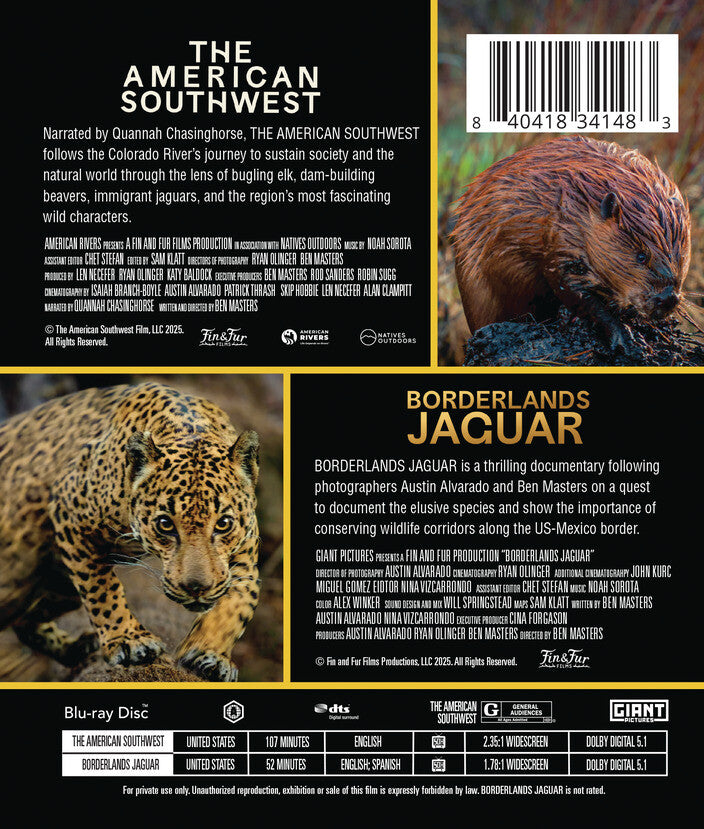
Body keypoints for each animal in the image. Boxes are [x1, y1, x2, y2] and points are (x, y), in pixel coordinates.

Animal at [0, 382, 261, 681]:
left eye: (223, 523)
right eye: (165, 524)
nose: (196, 588)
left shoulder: (245, 554)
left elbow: (240, 600)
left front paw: (211, 654)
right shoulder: (68, 508)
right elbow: (101, 586)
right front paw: (130, 642)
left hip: (56, 587)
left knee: (25, 620)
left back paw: (76, 647)